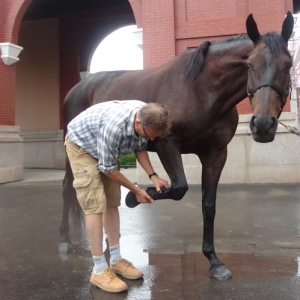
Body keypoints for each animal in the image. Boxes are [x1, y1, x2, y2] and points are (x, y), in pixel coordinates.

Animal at [59, 11, 294, 278]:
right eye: (249, 65)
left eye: (288, 64)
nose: (263, 125)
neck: (201, 90)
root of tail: (78, 87)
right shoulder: (167, 144)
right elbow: (179, 188)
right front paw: (135, 197)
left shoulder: (215, 153)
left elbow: (208, 204)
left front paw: (214, 260)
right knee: (67, 187)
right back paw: (65, 240)